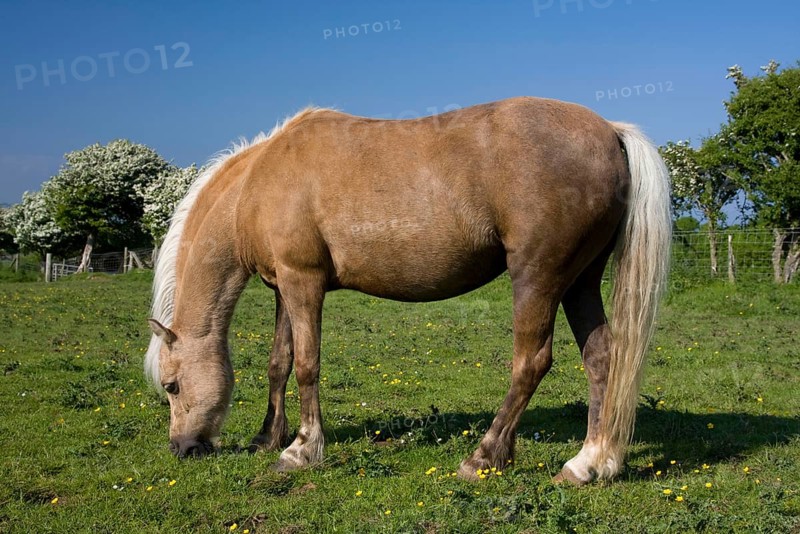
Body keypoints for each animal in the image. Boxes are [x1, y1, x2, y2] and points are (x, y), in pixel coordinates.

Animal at [145, 96, 671, 485]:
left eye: (171, 386)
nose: (181, 449)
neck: (257, 183)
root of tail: (611, 131)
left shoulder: (303, 281)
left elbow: (307, 366)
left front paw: (301, 450)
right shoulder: (282, 287)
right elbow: (280, 363)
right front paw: (266, 439)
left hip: (538, 277)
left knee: (531, 363)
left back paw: (483, 457)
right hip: (580, 281)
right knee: (602, 358)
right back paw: (590, 464)